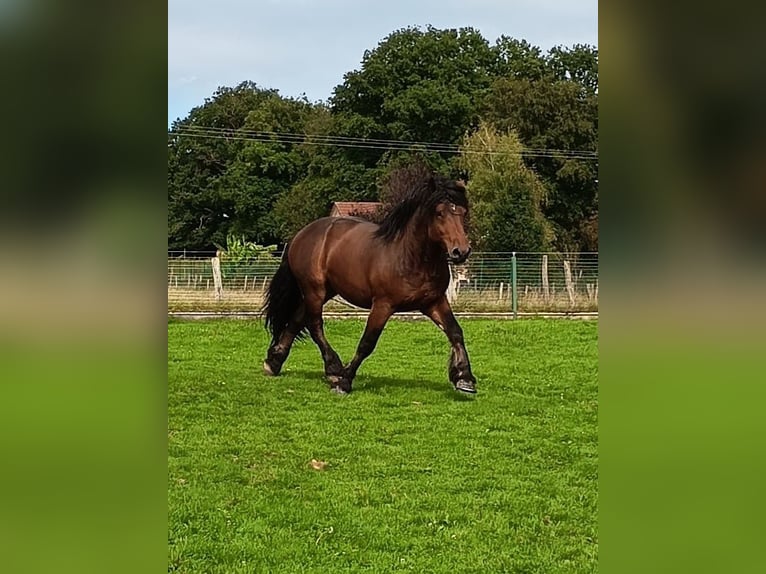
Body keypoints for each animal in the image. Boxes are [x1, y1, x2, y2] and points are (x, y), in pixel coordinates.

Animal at [261, 173, 477, 395]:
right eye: (439, 213)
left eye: (462, 212)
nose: (461, 251)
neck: (411, 258)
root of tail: (301, 234)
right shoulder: (383, 304)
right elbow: (367, 343)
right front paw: (344, 381)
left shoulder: (434, 302)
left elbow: (455, 332)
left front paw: (464, 378)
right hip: (314, 290)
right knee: (314, 325)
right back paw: (334, 369)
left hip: (325, 290)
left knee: (297, 320)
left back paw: (274, 362)